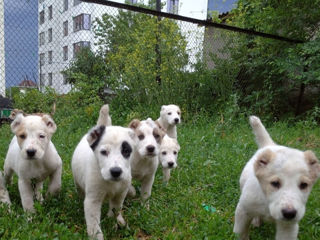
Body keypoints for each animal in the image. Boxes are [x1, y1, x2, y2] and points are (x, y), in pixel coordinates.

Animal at [71, 105, 135, 240]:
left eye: (126, 151)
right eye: (104, 152)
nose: (116, 172)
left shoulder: (120, 193)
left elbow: (116, 209)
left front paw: (113, 222)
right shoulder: (92, 200)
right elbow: (94, 225)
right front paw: (97, 235)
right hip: (78, 184)